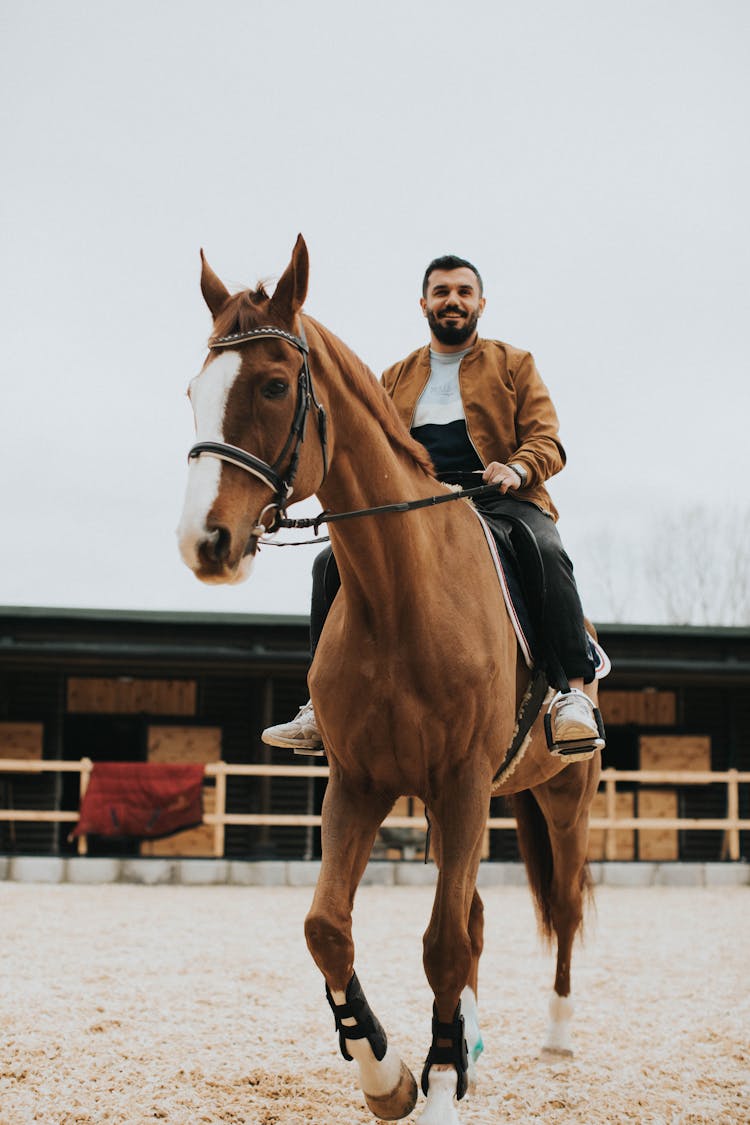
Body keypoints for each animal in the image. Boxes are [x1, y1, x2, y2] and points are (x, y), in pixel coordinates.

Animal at [178, 237, 602, 1125]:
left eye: (274, 384)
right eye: (194, 391)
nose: (205, 540)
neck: (403, 594)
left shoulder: (463, 782)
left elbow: (441, 944)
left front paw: (436, 1088)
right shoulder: (361, 782)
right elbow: (328, 928)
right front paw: (390, 1073)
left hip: (561, 796)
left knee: (563, 908)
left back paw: (556, 1032)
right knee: (474, 913)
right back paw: (467, 1043)